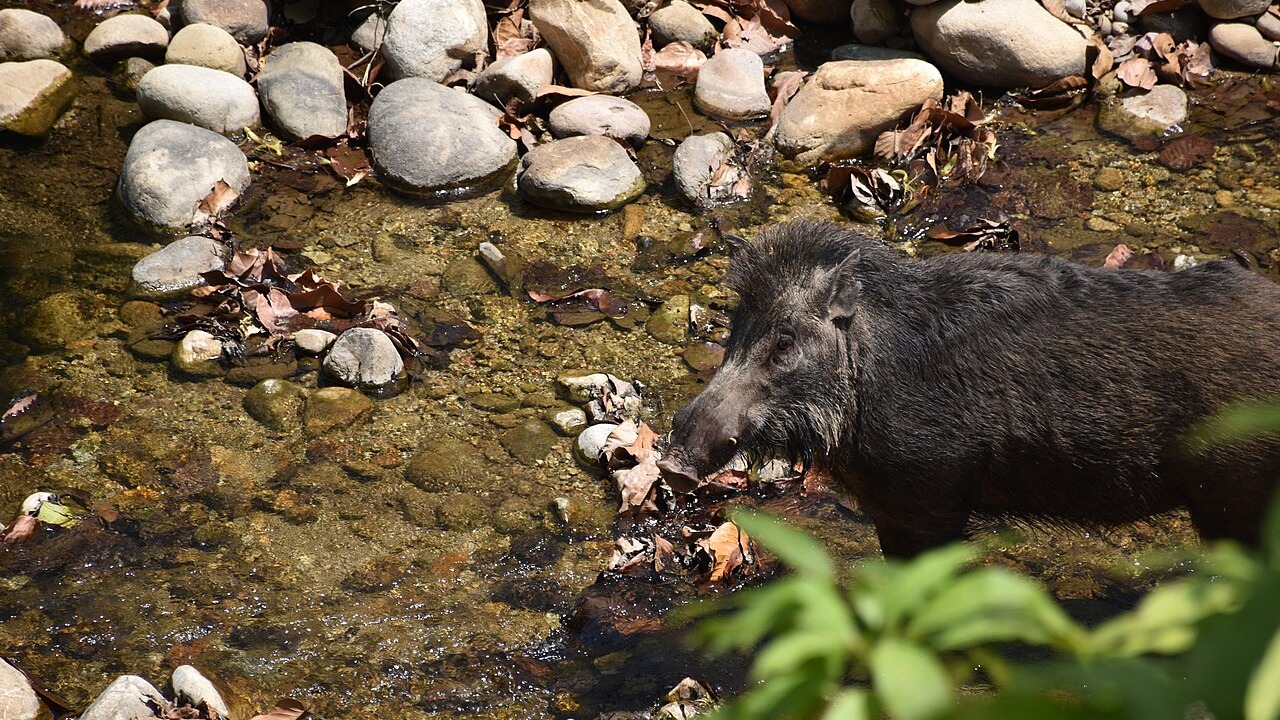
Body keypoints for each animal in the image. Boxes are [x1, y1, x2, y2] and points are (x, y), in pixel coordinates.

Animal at [658, 219, 1280, 557]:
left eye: (785, 340)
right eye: (734, 327)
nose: (672, 459)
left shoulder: (929, 496)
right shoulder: (893, 509)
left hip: (1237, 495)